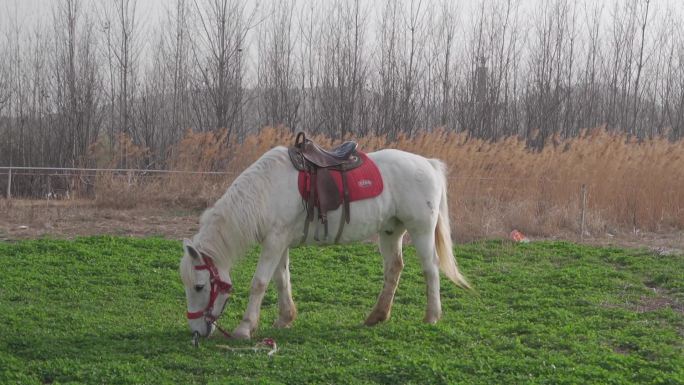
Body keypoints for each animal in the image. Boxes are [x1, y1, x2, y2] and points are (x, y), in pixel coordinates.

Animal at [179, 144, 472, 340]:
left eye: (199, 286)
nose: (196, 332)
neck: (266, 190)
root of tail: (428, 163)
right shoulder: (279, 242)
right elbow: (281, 280)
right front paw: (285, 318)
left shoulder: (274, 241)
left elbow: (259, 283)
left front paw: (244, 327)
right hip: (391, 231)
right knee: (394, 268)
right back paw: (377, 316)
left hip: (421, 231)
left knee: (430, 269)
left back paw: (432, 316)